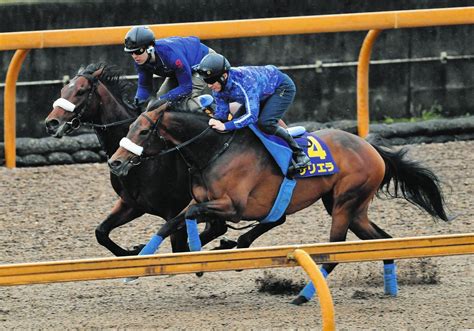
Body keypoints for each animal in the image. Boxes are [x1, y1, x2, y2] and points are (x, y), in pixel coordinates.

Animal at [108, 103, 452, 304]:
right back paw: (390, 285)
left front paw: (198, 251)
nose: (115, 162)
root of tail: (371, 148)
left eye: (143, 130)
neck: (214, 150)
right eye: (128, 128)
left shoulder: (233, 206)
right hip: (351, 208)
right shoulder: (201, 201)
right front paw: (138, 262)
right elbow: (170, 222)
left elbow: (192, 218)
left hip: (345, 203)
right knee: (382, 241)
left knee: (334, 252)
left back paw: (302, 296)